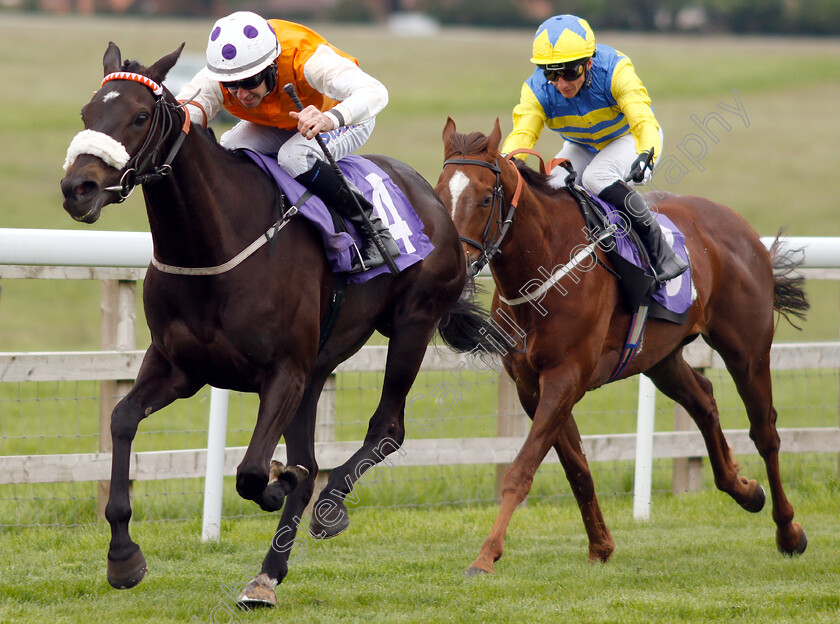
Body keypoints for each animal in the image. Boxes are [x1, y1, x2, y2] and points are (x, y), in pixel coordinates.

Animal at [60, 45, 506, 604]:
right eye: (85, 114)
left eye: (140, 116)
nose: (77, 188)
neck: (216, 247)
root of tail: (431, 195)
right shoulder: (178, 367)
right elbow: (122, 419)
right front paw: (123, 557)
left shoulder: (282, 372)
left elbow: (254, 473)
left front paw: (278, 483)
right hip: (316, 370)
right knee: (312, 460)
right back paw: (268, 574)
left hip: (412, 325)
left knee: (385, 429)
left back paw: (327, 509)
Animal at [436, 117, 812, 576]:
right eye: (439, 192)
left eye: (486, 198)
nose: (454, 266)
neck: (544, 265)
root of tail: (739, 226)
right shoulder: (531, 385)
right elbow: (577, 468)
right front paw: (601, 545)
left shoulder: (565, 377)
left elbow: (521, 470)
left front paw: (486, 555)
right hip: (661, 357)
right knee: (704, 400)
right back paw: (744, 489)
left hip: (747, 349)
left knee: (765, 432)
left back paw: (788, 531)